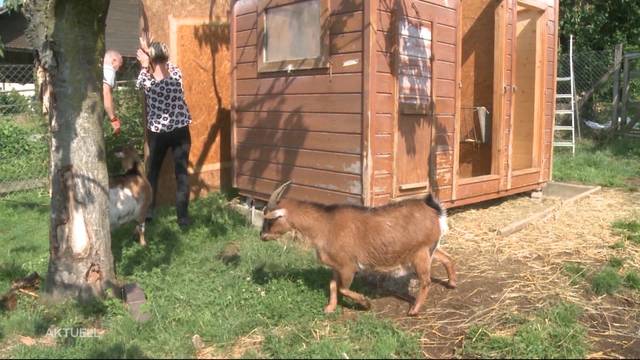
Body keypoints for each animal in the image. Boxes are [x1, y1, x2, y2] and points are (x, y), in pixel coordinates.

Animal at [260, 181, 456, 314]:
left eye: (270, 220)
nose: (261, 236)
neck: (324, 225)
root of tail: (435, 211)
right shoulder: (336, 266)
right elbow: (333, 285)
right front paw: (330, 308)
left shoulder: (348, 266)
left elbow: (343, 288)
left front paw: (366, 303)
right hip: (428, 249)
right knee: (447, 258)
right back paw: (452, 283)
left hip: (420, 253)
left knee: (426, 281)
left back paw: (414, 310)